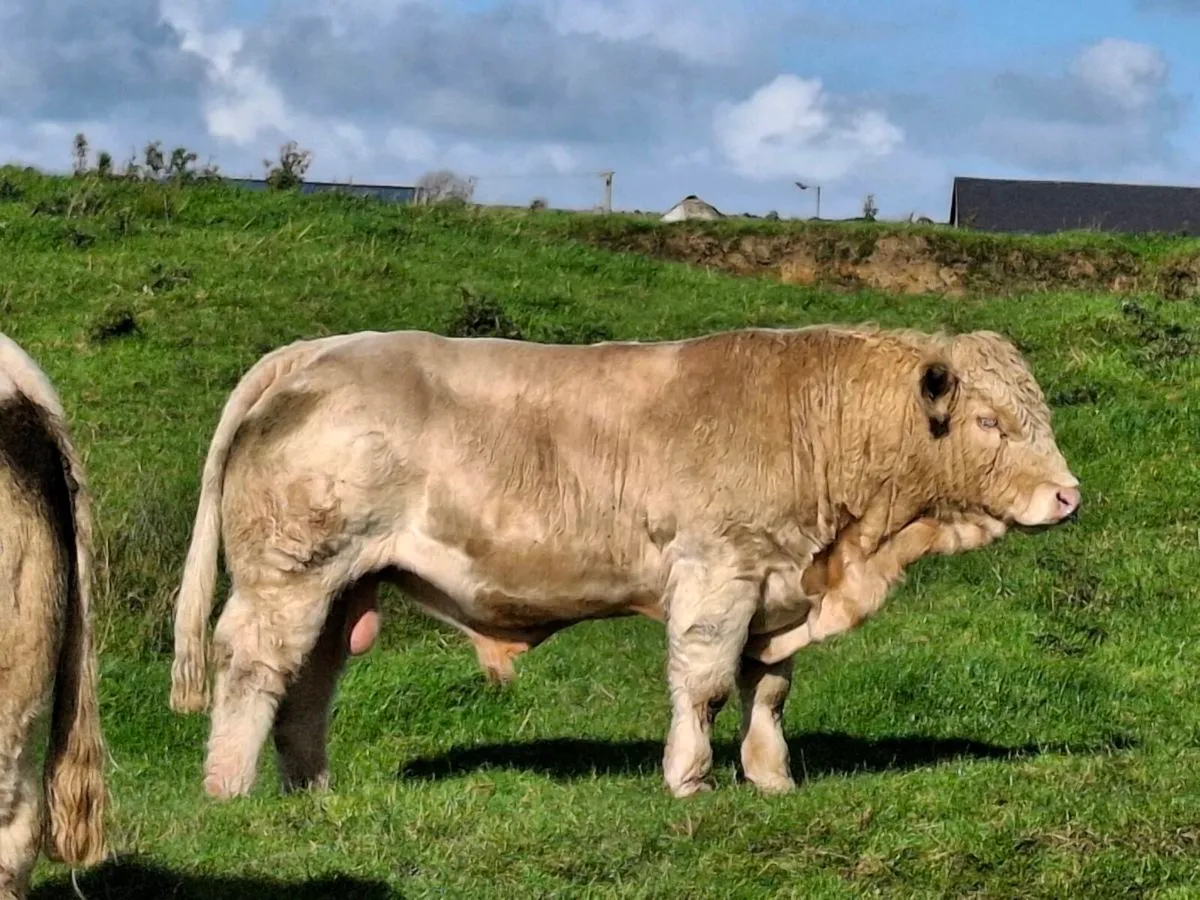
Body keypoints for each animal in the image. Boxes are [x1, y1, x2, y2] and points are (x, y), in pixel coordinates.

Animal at [168, 324, 1079, 800]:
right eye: (991, 423)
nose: (1069, 495)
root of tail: (319, 349)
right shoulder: (719, 570)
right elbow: (705, 682)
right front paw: (689, 780)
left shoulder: (776, 587)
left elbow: (768, 690)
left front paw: (771, 780)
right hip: (289, 572)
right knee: (254, 667)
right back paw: (228, 789)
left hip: (340, 585)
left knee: (309, 682)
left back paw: (311, 790)